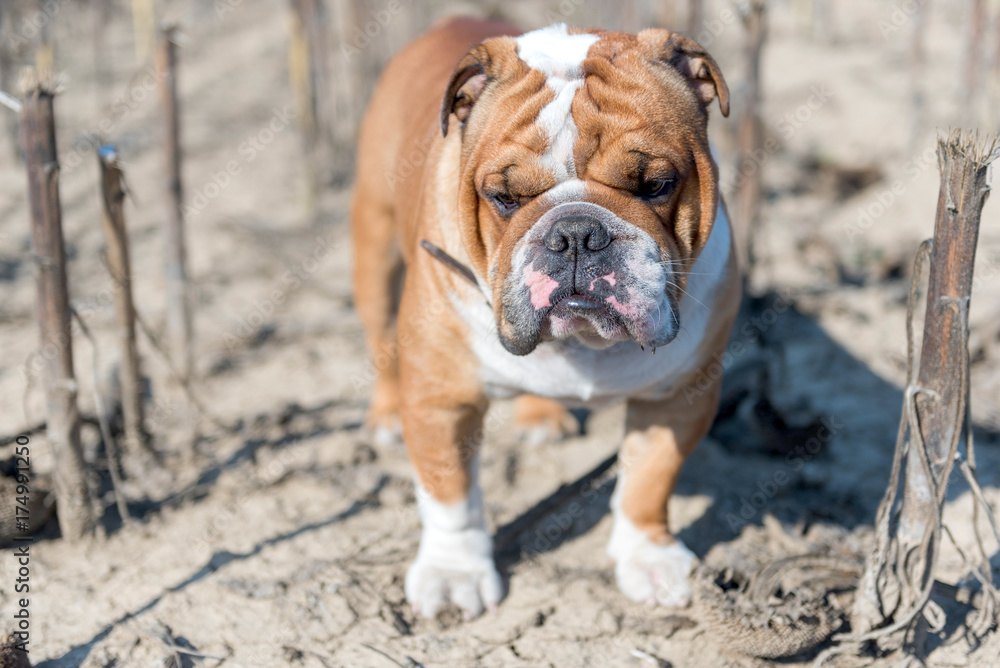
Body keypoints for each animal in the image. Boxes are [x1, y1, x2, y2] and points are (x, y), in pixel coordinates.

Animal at [352, 17, 744, 620]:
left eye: (656, 185)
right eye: (504, 197)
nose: (577, 233)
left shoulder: (678, 396)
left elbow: (649, 479)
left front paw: (648, 557)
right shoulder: (441, 399)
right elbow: (449, 492)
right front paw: (453, 572)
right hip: (374, 251)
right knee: (378, 340)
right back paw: (387, 417)